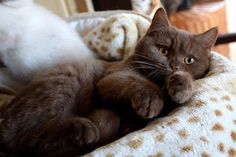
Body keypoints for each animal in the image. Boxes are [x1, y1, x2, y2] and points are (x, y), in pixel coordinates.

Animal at [0, 7, 218, 156]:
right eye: (163, 50)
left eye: (189, 60)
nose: (173, 66)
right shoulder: (113, 76)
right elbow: (135, 83)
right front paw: (150, 102)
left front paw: (181, 87)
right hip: (63, 84)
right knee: (26, 140)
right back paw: (83, 129)